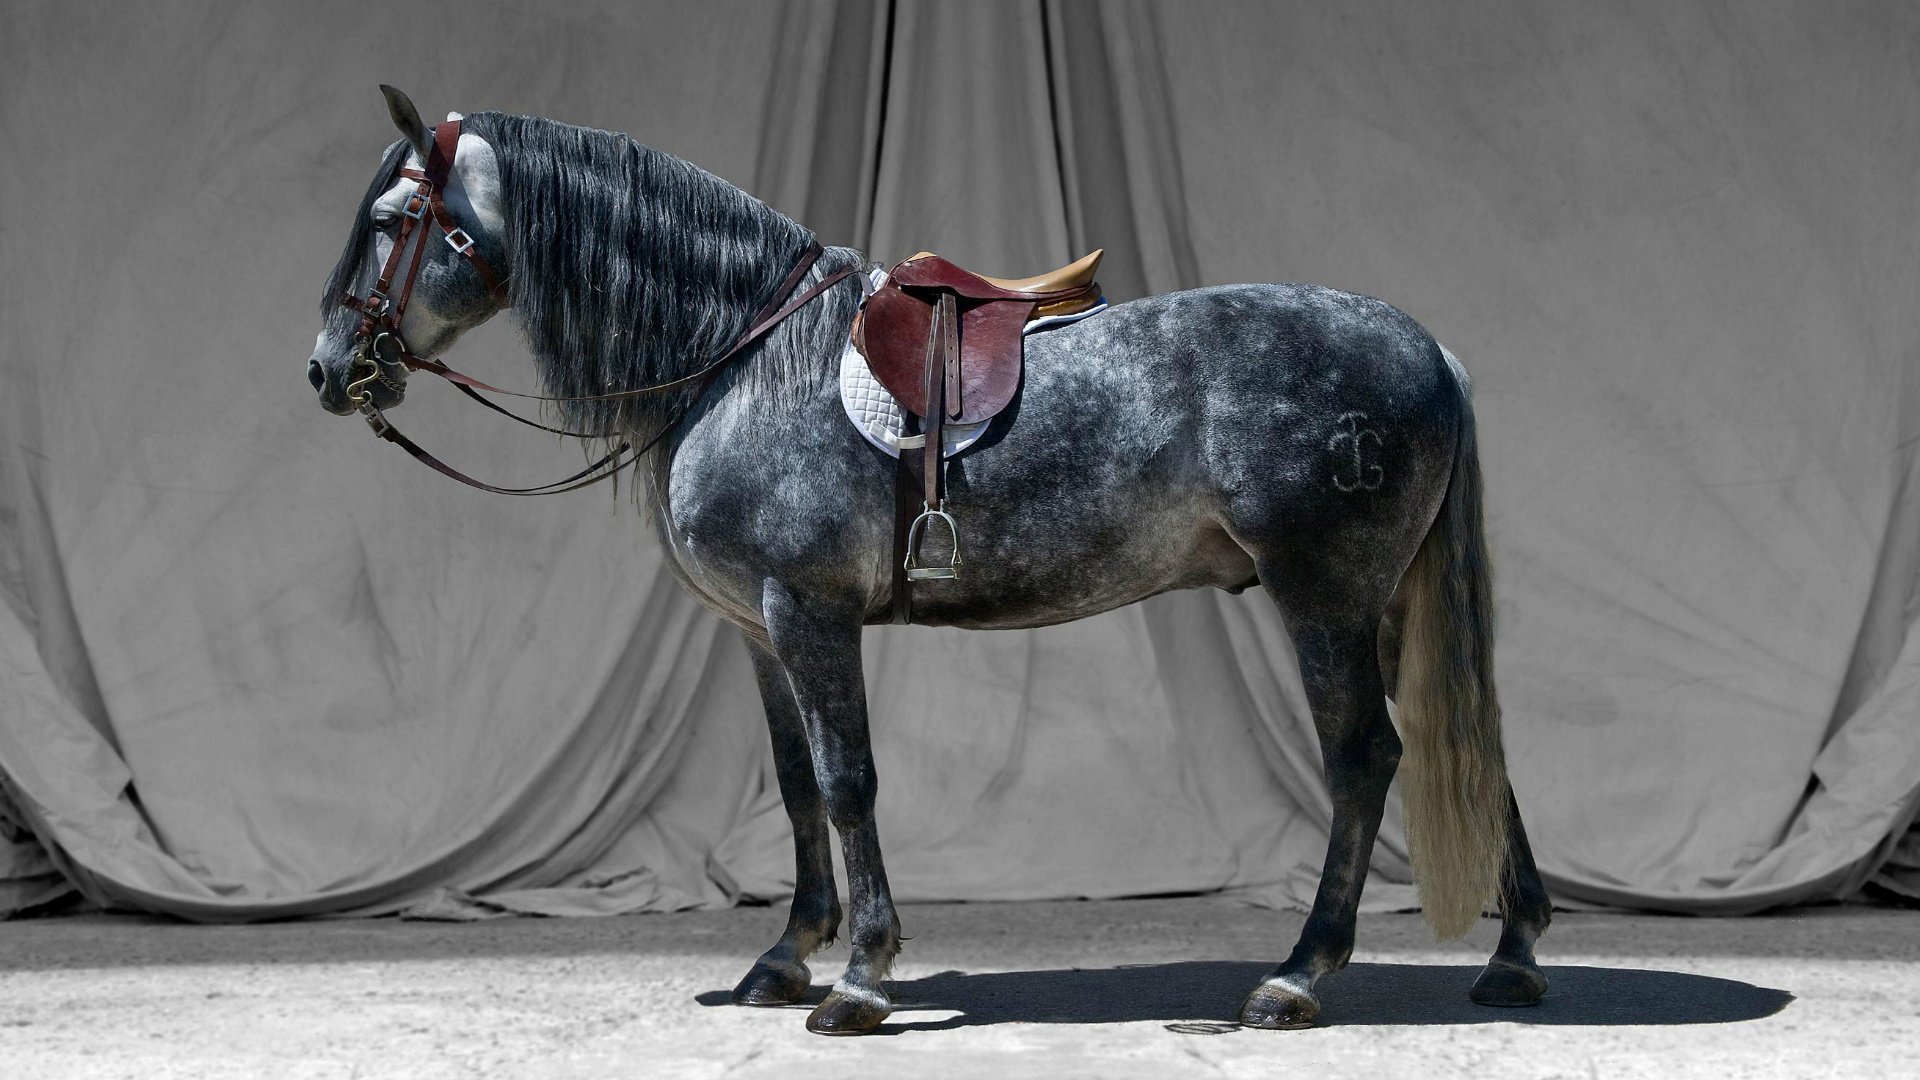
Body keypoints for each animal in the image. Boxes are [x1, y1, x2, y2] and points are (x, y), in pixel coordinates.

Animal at [305, 86, 1552, 1035]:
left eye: (398, 217)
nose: (327, 370)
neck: (747, 356)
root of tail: (1429, 350)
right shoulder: (760, 630)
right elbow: (799, 784)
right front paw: (784, 958)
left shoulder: (807, 612)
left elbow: (850, 783)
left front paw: (859, 978)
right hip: (1390, 605)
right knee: (1469, 744)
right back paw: (1514, 958)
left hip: (1324, 599)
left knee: (1367, 760)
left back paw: (1297, 976)